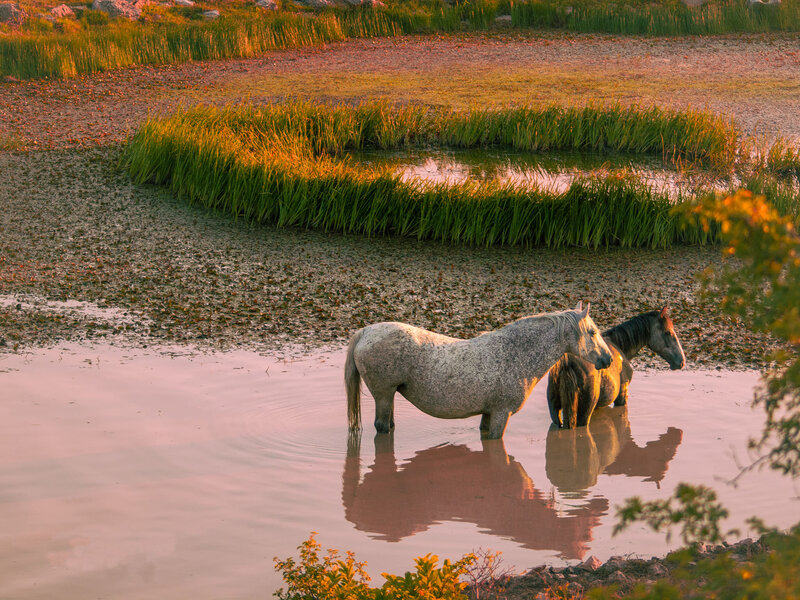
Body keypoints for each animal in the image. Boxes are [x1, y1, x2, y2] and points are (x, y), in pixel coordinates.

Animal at [345, 302, 613, 439]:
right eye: (592, 332)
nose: (608, 359)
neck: (516, 354)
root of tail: (365, 332)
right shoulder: (501, 414)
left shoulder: (488, 413)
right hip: (383, 395)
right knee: (382, 427)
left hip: (387, 396)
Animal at [546, 306, 686, 429]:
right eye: (668, 332)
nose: (682, 361)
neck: (618, 345)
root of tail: (567, 361)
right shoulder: (622, 394)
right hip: (584, 412)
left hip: (555, 412)